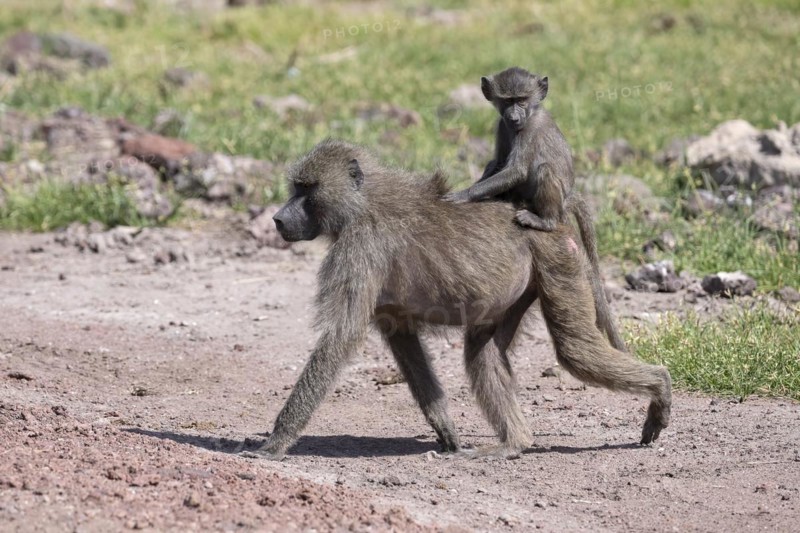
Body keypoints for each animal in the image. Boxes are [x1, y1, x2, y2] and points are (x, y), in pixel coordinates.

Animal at [240, 139, 671, 461]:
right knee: (483, 353)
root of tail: (551, 215)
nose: (278, 219)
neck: (362, 203)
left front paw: (273, 446)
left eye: (307, 190)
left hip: (555, 260)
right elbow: (404, 343)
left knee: (574, 352)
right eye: (296, 187)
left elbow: (340, 337)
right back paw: (513, 445)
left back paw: (662, 389)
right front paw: (447, 433)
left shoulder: (361, 247)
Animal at [444, 67, 627, 352]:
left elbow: (516, 170)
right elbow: (497, 163)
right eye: (507, 101)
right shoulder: (502, 127)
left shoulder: (529, 130)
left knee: (544, 170)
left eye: (522, 99)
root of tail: (568, 199)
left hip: (555, 201)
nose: (514, 116)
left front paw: (463, 195)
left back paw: (543, 221)